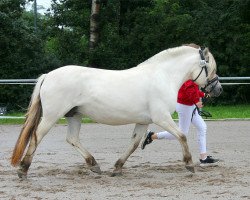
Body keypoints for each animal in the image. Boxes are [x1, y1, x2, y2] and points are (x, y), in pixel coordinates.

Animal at [11, 44, 223, 178]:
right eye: (211, 68)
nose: (218, 89)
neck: (163, 76)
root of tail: (48, 75)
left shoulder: (143, 121)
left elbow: (134, 144)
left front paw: (117, 168)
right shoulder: (161, 118)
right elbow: (182, 136)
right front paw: (189, 165)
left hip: (74, 115)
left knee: (72, 139)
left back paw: (94, 166)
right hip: (51, 116)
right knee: (37, 136)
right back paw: (23, 170)